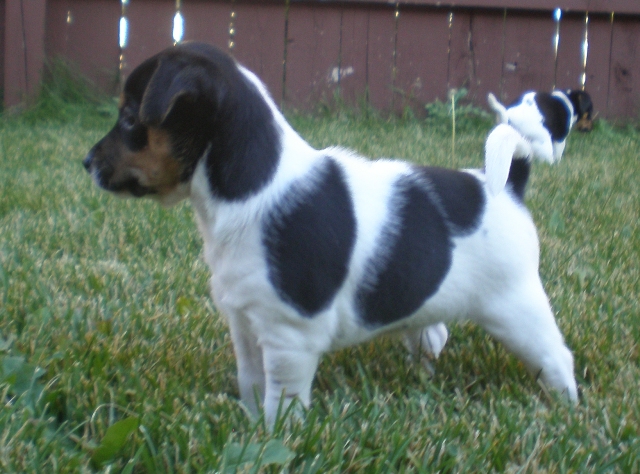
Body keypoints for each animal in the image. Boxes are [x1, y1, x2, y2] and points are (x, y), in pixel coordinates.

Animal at [82, 42, 576, 424]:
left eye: (130, 119)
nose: (86, 162)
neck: (252, 189)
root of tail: (509, 186)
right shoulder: (245, 326)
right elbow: (250, 383)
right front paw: (249, 427)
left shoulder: (288, 339)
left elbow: (281, 400)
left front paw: (275, 438)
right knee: (433, 337)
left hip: (516, 308)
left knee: (556, 357)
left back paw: (567, 406)